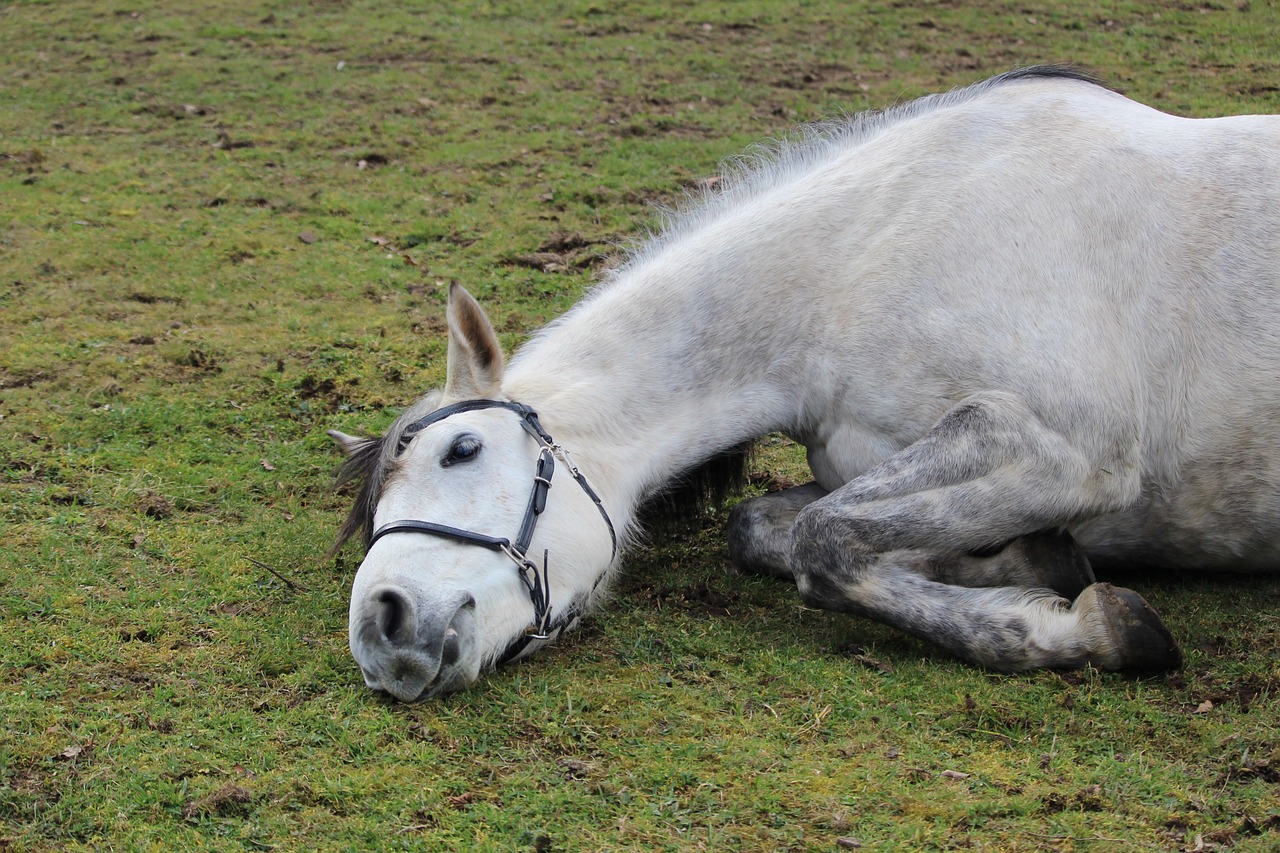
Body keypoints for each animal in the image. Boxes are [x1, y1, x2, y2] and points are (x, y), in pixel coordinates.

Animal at [330, 68, 1280, 696]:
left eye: (463, 449)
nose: (382, 626)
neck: (857, 268)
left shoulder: (1061, 448)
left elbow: (825, 544)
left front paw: (1086, 624)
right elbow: (762, 529)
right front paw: (1025, 559)